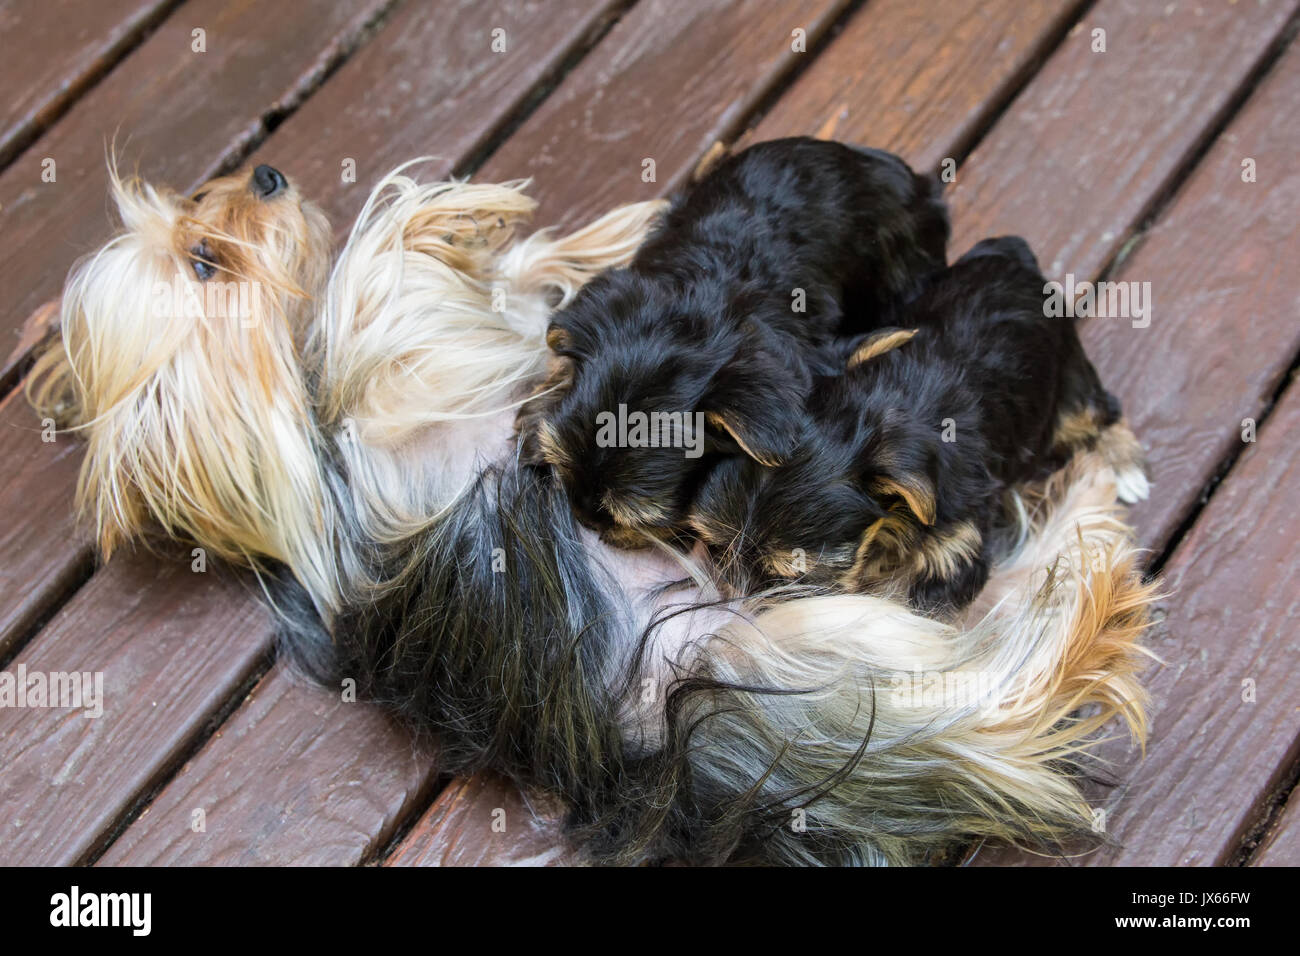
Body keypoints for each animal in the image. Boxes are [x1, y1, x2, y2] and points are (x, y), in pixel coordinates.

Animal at [686, 238, 1144, 613]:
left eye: (783, 580)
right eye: (714, 547)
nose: (734, 604)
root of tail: (1014, 261)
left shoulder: (956, 543)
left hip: (1069, 381)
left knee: (1097, 411)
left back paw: (1124, 466)